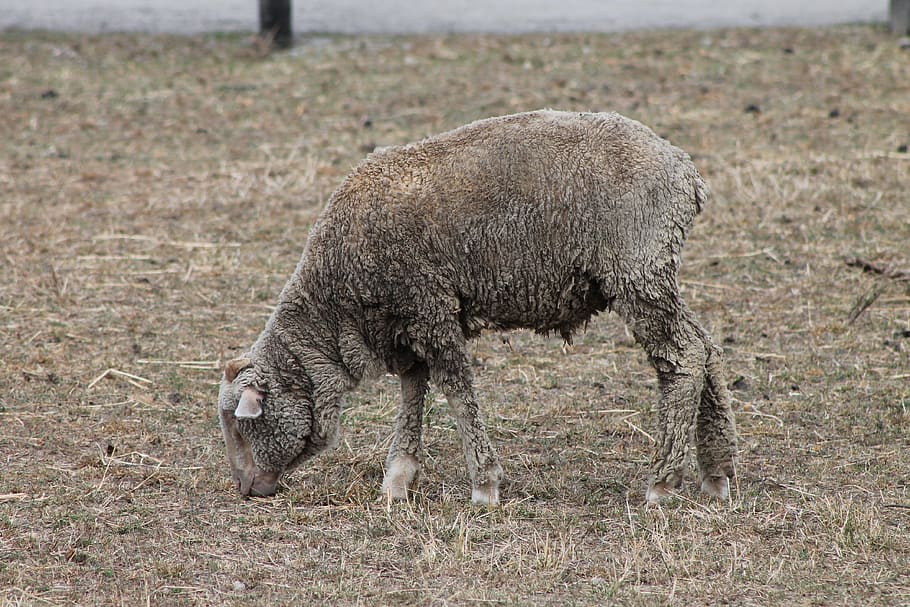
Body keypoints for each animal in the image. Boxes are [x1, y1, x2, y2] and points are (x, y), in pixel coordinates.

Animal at [217, 109, 737, 505]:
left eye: (242, 427)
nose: (246, 489)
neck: (336, 306)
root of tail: (684, 171)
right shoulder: (407, 321)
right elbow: (414, 389)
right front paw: (398, 479)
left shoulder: (428, 306)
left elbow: (455, 389)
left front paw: (484, 486)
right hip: (654, 272)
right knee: (708, 348)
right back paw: (716, 473)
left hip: (636, 270)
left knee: (683, 358)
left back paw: (663, 483)